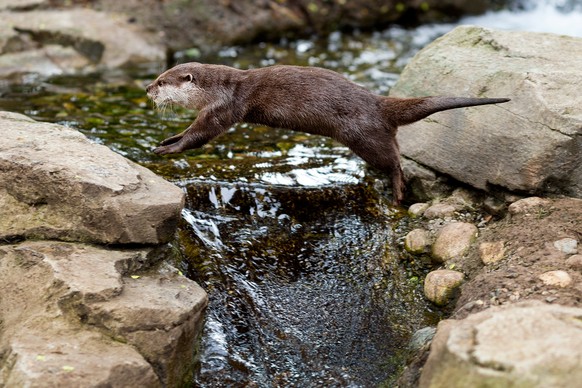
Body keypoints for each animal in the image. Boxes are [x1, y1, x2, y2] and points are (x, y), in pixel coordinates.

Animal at [147, 62, 512, 205]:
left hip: (361, 135)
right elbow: (192, 132)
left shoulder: (223, 108)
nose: (148, 89)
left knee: (393, 161)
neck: (222, 87)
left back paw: (397, 190)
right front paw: (167, 140)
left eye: (162, 81)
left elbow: (201, 135)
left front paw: (168, 149)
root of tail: (378, 102)